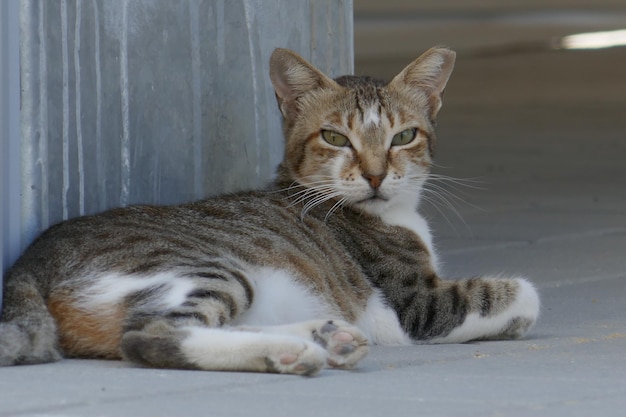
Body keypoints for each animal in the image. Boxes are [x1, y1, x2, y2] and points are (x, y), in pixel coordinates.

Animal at [0, 47, 536, 376]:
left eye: (404, 136)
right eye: (335, 137)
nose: (376, 175)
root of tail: (29, 261)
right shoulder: (417, 304)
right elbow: (523, 295)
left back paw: (325, 336)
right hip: (207, 268)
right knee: (152, 333)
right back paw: (292, 351)